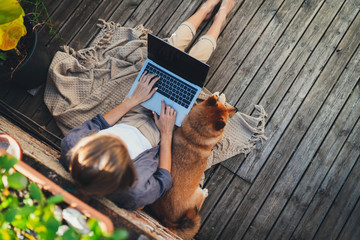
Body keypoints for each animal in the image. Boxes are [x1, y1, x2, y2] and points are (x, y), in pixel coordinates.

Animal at [150, 93, 236, 239]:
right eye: (226, 110)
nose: (236, 109)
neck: (196, 130)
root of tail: (169, 223)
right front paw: (221, 96)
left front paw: (217, 95)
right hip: (197, 196)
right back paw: (205, 192)